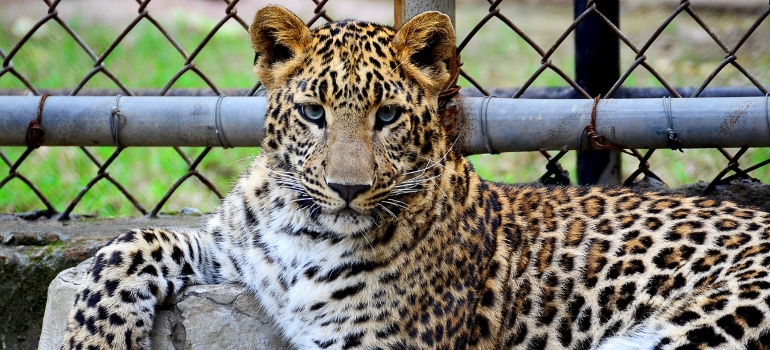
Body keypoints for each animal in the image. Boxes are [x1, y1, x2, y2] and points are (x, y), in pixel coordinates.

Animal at [60, 3, 768, 350]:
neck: (306, 230)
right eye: (313, 112)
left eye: (388, 116)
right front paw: (94, 338)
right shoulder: (234, 248)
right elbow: (131, 243)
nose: (347, 190)